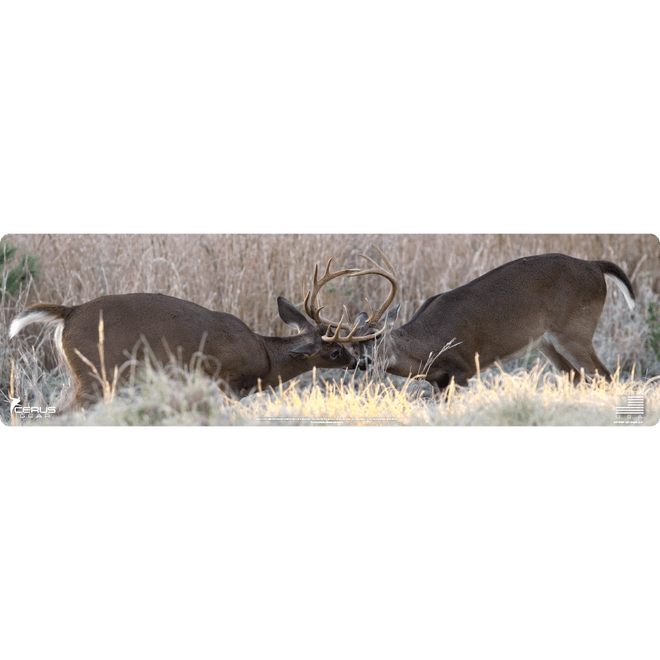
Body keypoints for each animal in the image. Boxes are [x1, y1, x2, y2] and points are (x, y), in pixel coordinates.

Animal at [8, 259, 383, 410]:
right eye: (334, 351)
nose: (362, 363)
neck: (266, 357)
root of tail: (69, 311)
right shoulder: (226, 381)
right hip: (96, 374)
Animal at [346, 246, 636, 393]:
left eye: (377, 336)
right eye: (352, 344)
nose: (363, 363)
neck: (427, 348)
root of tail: (595, 266)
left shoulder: (462, 369)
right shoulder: (439, 380)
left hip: (574, 331)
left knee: (605, 376)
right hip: (547, 343)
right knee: (577, 379)